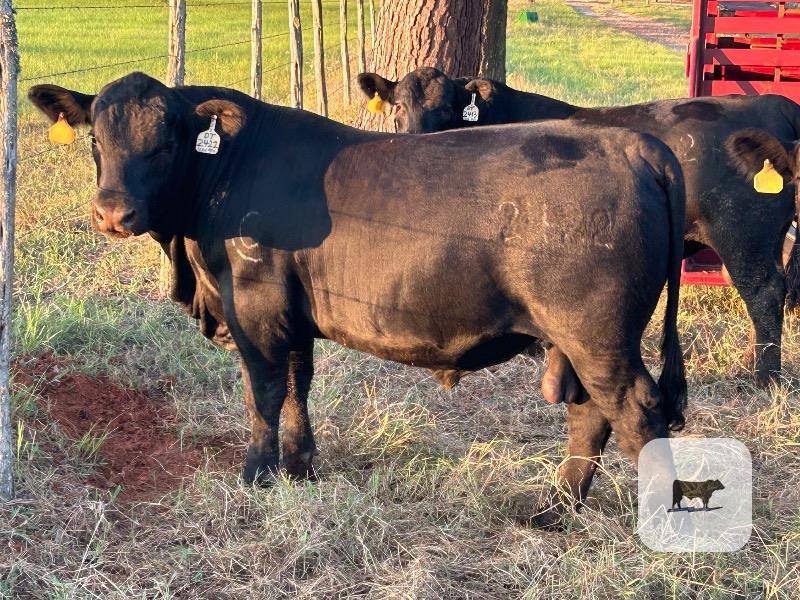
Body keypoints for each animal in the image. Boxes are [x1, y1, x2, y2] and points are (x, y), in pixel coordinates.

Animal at [29, 72, 687, 527]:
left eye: (166, 142)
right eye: (97, 138)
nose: (113, 213)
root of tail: (632, 145)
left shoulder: (256, 310)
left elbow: (263, 393)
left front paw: (256, 474)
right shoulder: (292, 316)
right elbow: (298, 388)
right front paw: (299, 468)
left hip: (595, 334)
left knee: (634, 412)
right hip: (579, 341)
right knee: (590, 415)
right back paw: (554, 507)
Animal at [359, 67, 800, 386]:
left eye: (447, 109)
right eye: (398, 108)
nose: (415, 138)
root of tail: (775, 105)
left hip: (743, 233)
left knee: (764, 293)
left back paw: (762, 377)